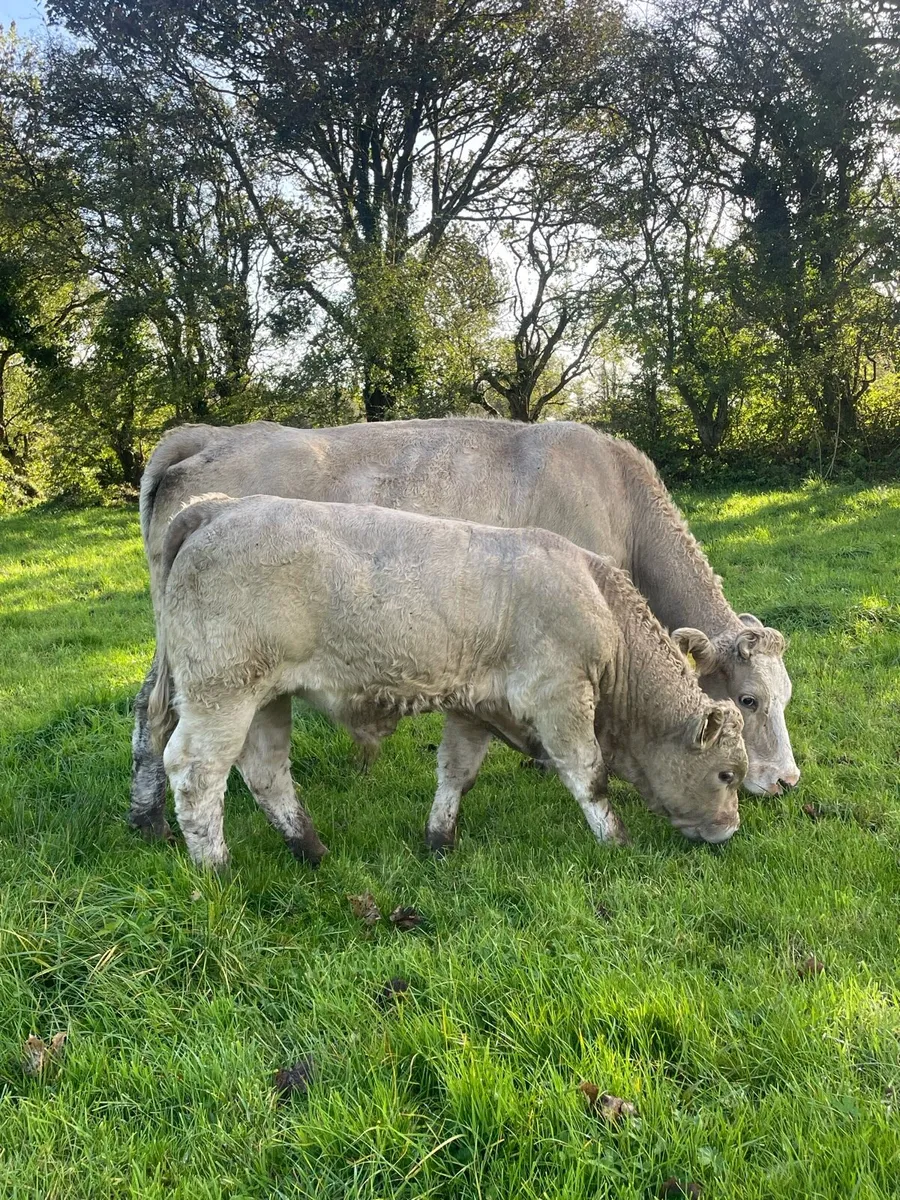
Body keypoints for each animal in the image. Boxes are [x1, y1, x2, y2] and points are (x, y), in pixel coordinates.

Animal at [147, 494, 748, 869]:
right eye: (726, 775)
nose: (730, 832)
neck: (598, 598)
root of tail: (220, 507)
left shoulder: (474, 705)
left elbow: (457, 773)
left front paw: (440, 840)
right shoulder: (560, 696)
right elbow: (589, 775)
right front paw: (616, 841)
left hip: (265, 697)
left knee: (266, 772)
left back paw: (310, 849)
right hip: (221, 692)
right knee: (195, 773)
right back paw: (217, 869)